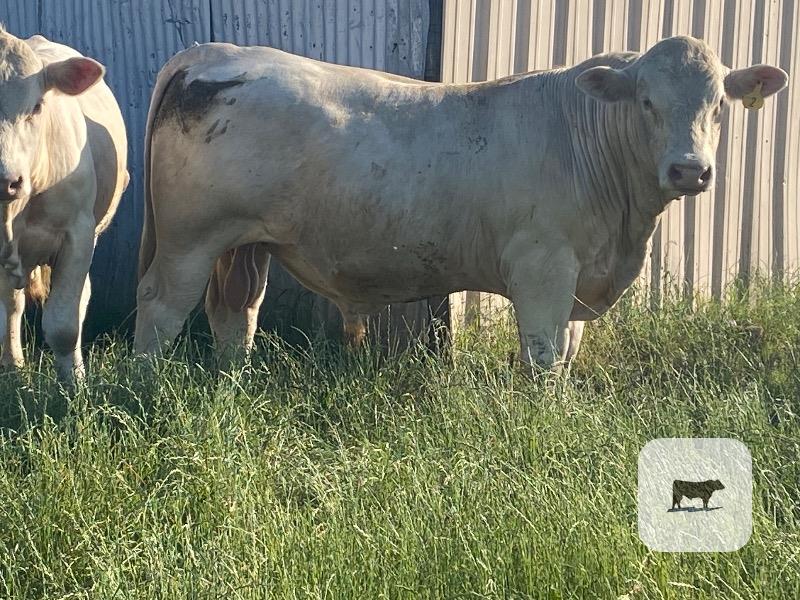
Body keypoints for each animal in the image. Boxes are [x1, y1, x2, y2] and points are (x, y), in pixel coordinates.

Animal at [0, 26, 128, 382]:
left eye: (37, 106)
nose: (6, 180)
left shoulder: (77, 235)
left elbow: (63, 325)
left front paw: (73, 385)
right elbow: (6, 313)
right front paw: (11, 372)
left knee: (80, 299)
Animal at [134, 36, 786, 370]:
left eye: (720, 105)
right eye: (646, 101)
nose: (690, 170)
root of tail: (209, 51)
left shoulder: (581, 278)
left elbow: (569, 356)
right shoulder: (544, 270)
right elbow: (546, 356)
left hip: (245, 242)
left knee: (234, 313)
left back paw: (232, 388)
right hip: (189, 240)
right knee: (161, 309)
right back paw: (147, 392)